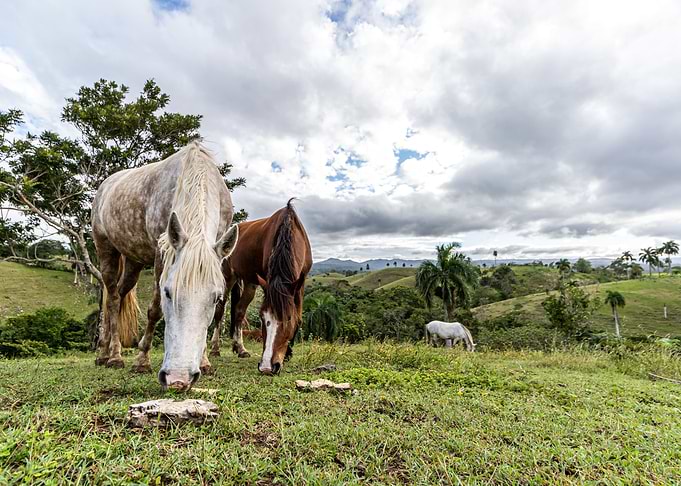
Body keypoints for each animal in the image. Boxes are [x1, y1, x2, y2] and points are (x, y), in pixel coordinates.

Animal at [91, 141, 239, 391]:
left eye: (217, 298)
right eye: (168, 293)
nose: (179, 379)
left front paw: (205, 361)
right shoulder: (162, 255)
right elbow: (154, 310)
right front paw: (142, 361)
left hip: (133, 262)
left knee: (119, 295)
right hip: (105, 250)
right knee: (111, 299)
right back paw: (111, 355)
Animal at [209, 200, 312, 375]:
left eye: (288, 318)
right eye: (262, 318)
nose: (267, 367)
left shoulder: (299, 283)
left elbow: (298, 317)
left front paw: (288, 353)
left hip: (250, 282)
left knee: (239, 311)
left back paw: (241, 349)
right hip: (227, 277)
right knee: (220, 310)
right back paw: (215, 348)